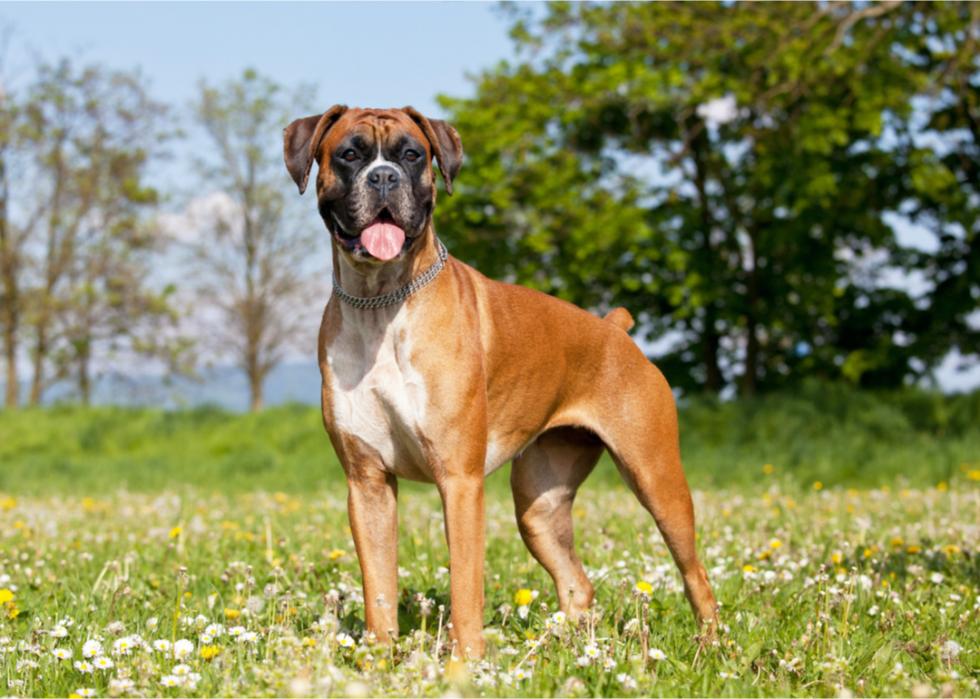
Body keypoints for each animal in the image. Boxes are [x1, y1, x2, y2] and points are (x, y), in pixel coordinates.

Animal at [280, 104, 716, 656]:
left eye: (412, 155)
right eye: (350, 154)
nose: (384, 177)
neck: (380, 302)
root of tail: (613, 329)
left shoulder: (460, 483)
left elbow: (466, 587)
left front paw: (465, 663)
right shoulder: (368, 484)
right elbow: (378, 588)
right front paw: (378, 660)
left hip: (656, 480)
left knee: (695, 574)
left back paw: (710, 647)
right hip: (538, 507)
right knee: (577, 582)